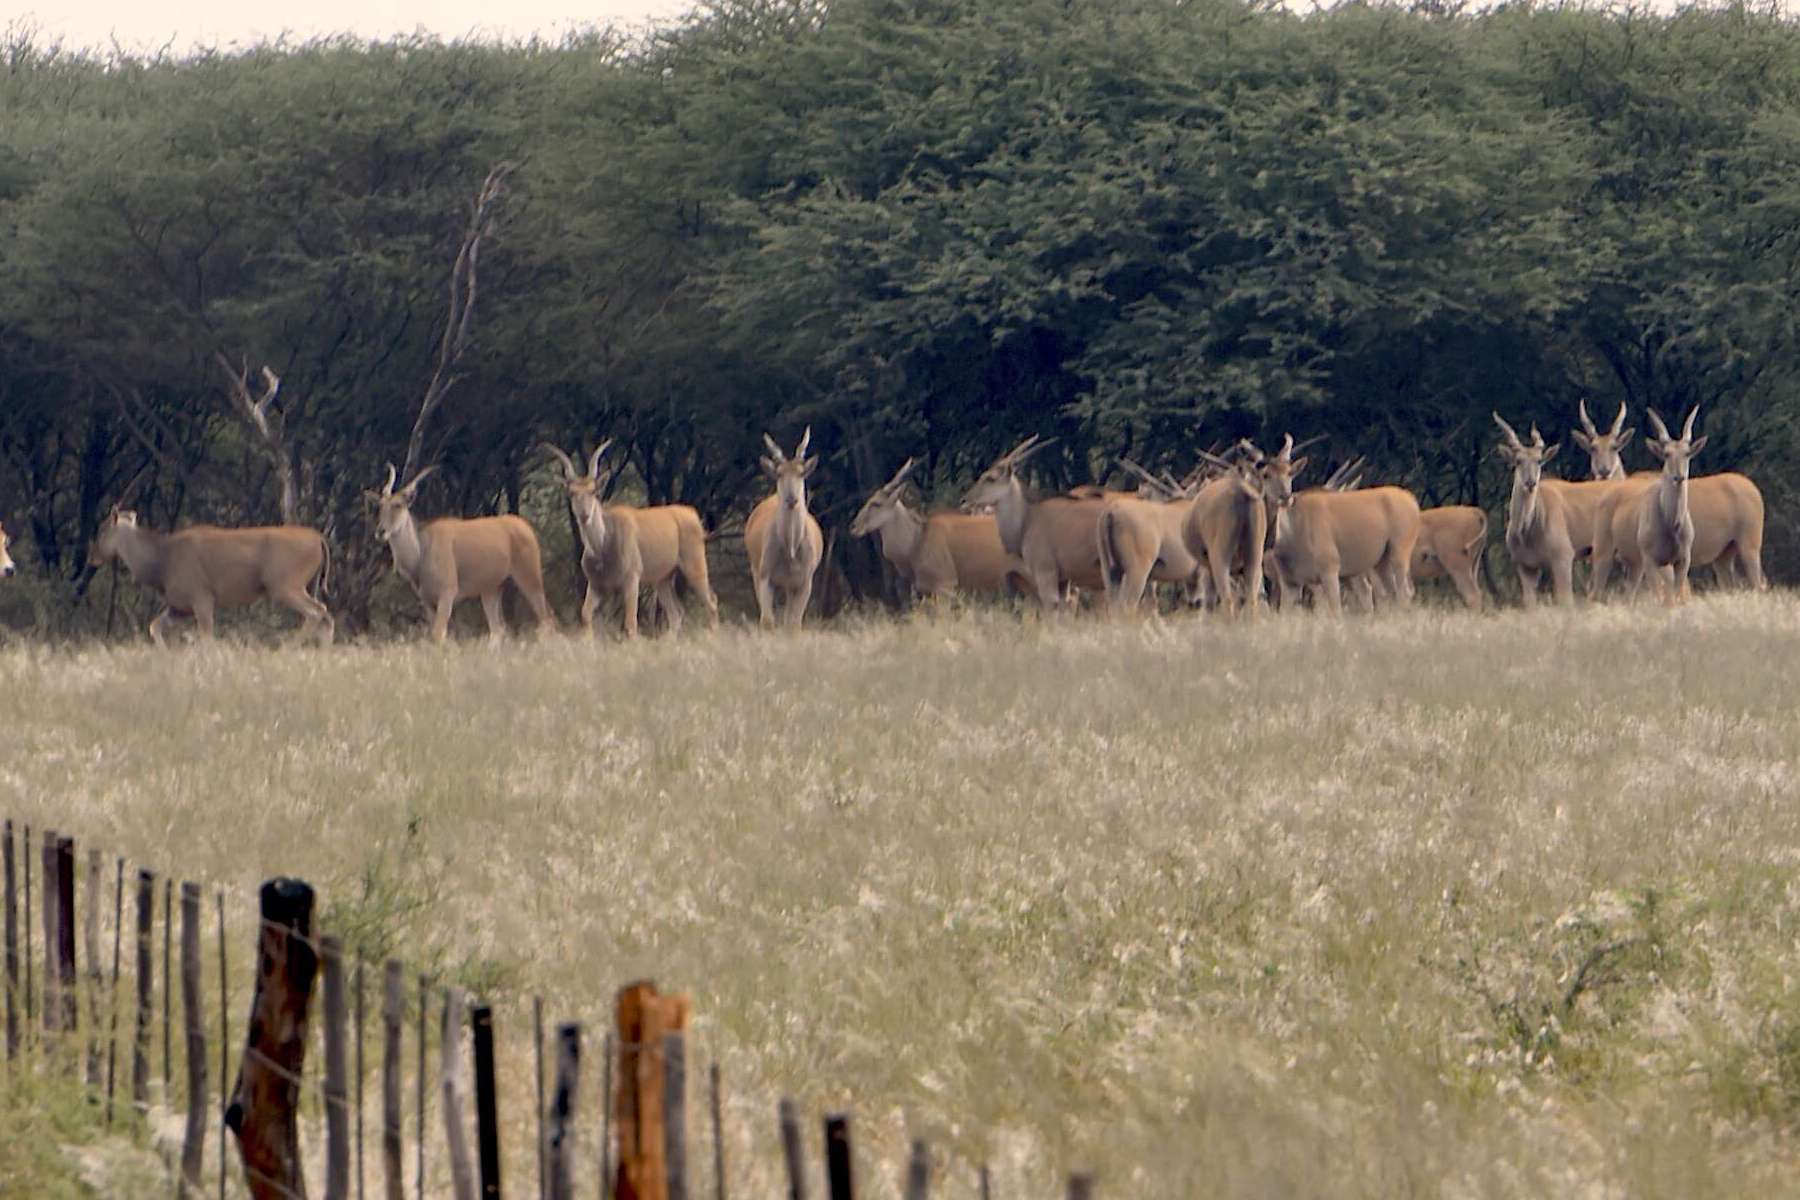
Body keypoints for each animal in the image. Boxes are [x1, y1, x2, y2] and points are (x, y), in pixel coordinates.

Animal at [91, 507, 333, 647]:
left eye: (102, 529)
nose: (92, 557)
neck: (164, 556)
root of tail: (317, 537)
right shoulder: (178, 608)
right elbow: (154, 626)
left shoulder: (202, 601)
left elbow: (207, 639)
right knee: (326, 616)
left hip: (285, 588)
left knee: (316, 612)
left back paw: (286, 649)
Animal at [369, 464, 550, 644]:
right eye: (381, 505)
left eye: (398, 505)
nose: (380, 532)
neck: (422, 550)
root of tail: (525, 527)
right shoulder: (427, 601)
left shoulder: (447, 594)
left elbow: (439, 634)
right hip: (491, 589)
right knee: (498, 630)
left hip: (530, 579)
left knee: (546, 620)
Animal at [547, 444, 716, 636]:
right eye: (572, 493)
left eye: (593, 491)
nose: (584, 515)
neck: (603, 545)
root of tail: (692, 514)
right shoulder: (596, 585)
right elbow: (585, 614)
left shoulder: (631, 580)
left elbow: (630, 622)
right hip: (662, 580)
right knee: (676, 613)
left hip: (694, 568)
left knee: (711, 602)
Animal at [741, 426, 824, 629]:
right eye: (779, 473)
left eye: (801, 473)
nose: (791, 499)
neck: (791, 548)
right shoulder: (765, 577)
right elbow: (767, 620)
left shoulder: (804, 583)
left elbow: (794, 624)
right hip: (756, 570)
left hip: (789, 587)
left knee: (788, 619)